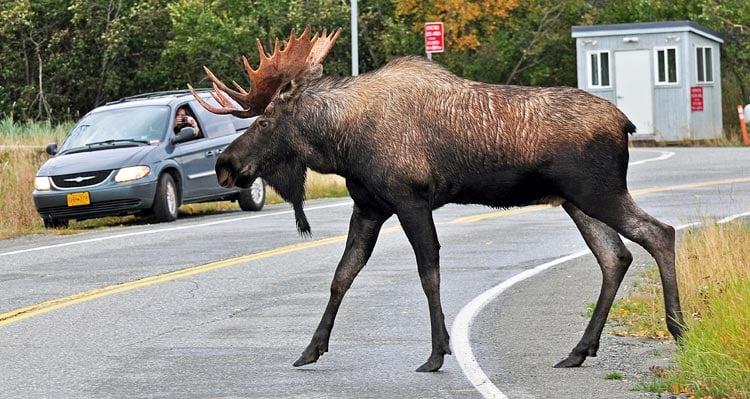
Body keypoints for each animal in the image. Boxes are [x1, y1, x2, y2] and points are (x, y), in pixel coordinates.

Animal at [189, 27, 688, 372]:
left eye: (265, 121)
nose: (225, 165)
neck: (341, 145)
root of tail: (625, 123)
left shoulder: (410, 199)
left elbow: (428, 272)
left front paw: (435, 353)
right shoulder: (369, 206)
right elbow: (342, 276)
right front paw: (310, 349)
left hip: (598, 191)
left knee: (658, 232)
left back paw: (678, 329)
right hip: (575, 200)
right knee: (615, 256)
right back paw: (579, 351)